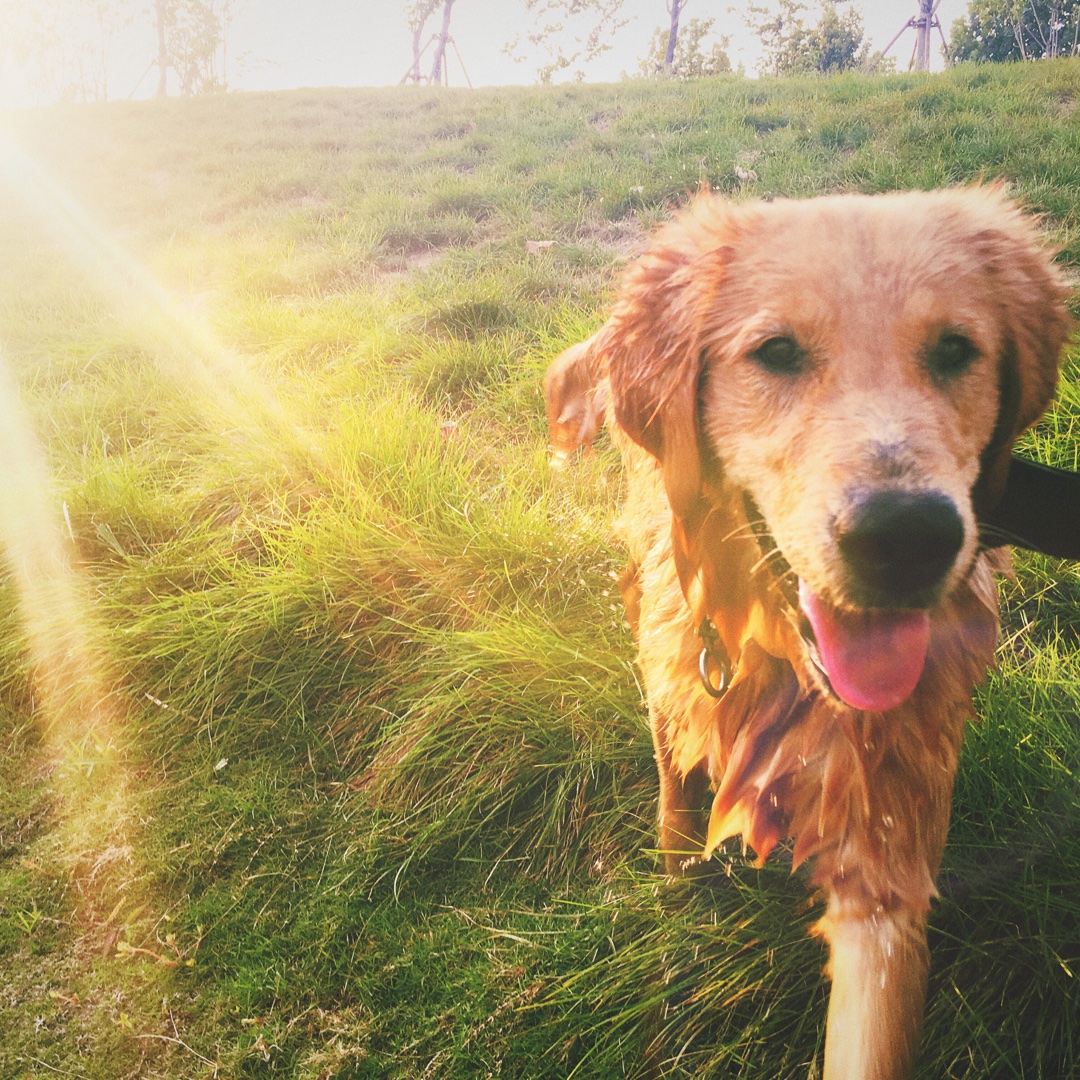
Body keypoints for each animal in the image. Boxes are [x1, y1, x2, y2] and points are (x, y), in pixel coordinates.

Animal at [544, 190, 1075, 1080]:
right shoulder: (676, 676)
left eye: (955, 350)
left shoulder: (887, 847)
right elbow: (674, 802)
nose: (906, 537)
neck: (789, 672)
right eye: (778, 353)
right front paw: (676, 889)